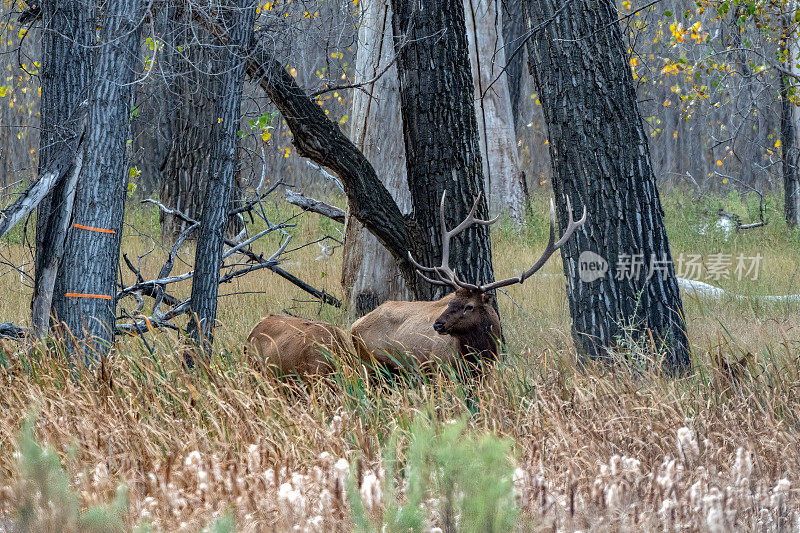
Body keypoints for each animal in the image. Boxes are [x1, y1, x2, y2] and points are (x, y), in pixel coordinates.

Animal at [354, 191, 584, 374]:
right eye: (449, 302)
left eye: (469, 306)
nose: (437, 324)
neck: (479, 357)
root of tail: (352, 326)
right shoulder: (442, 371)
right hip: (371, 366)